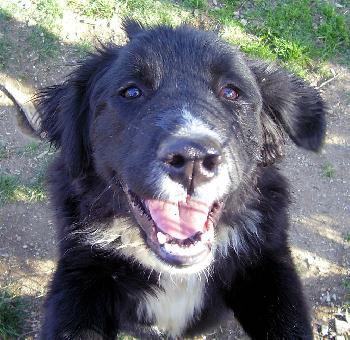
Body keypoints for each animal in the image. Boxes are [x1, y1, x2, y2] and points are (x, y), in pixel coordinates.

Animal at [35, 21, 326, 340]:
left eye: (231, 92)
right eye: (132, 91)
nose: (193, 160)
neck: (179, 273)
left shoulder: (266, 265)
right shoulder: (82, 275)